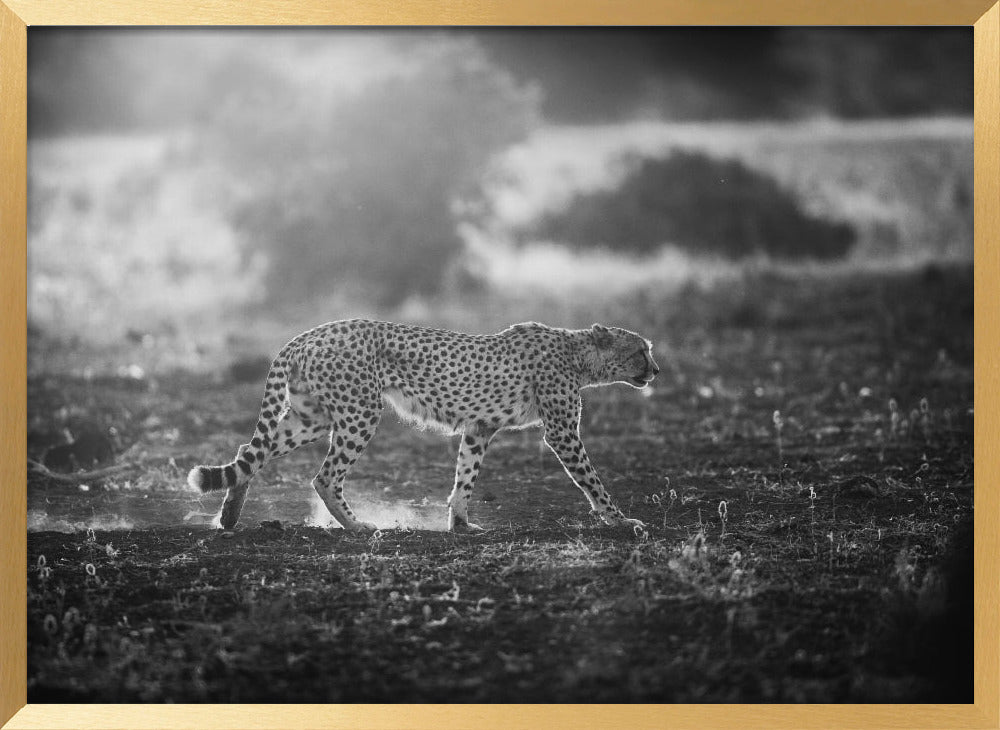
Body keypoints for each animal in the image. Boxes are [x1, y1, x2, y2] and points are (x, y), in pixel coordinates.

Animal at [187, 319, 659, 533]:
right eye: (641, 351)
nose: (656, 370)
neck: (580, 355)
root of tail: (308, 333)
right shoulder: (561, 432)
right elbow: (592, 479)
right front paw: (621, 519)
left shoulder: (479, 428)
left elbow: (465, 476)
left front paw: (461, 524)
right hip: (360, 412)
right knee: (324, 476)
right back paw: (357, 526)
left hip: (311, 417)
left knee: (251, 454)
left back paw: (229, 515)